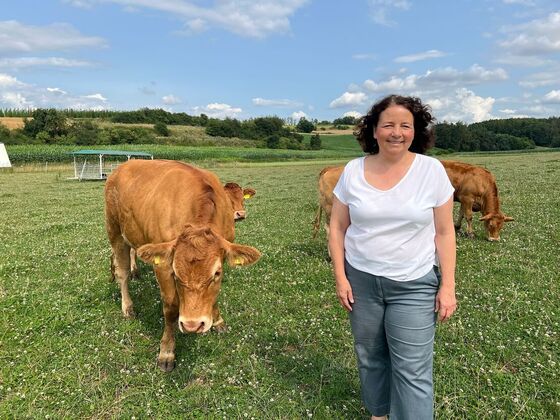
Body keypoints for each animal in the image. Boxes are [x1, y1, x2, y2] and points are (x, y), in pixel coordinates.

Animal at [104, 160, 260, 370]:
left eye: (216, 273)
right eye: (176, 274)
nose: (193, 325)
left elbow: (215, 295)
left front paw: (218, 321)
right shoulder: (163, 267)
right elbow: (170, 308)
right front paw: (167, 352)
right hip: (114, 230)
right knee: (123, 272)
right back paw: (127, 305)